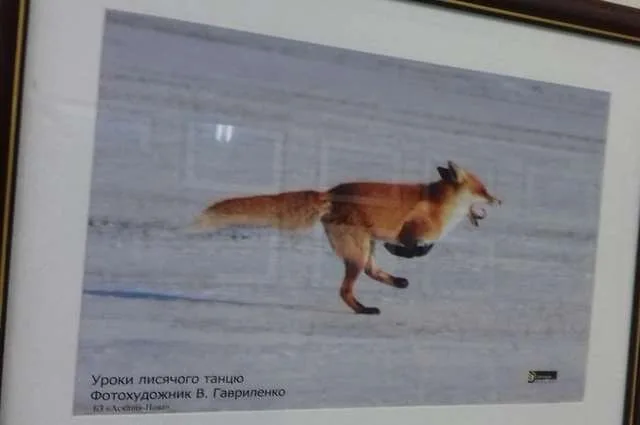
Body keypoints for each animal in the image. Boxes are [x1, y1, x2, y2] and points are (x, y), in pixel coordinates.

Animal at [192, 161, 501, 315]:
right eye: (483, 190)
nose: (499, 200)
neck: (440, 206)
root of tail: (330, 192)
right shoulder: (410, 230)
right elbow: (416, 249)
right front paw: (401, 252)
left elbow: (421, 249)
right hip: (358, 251)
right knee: (346, 289)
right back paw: (364, 309)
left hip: (363, 248)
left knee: (371, 271)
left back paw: (396, 283)